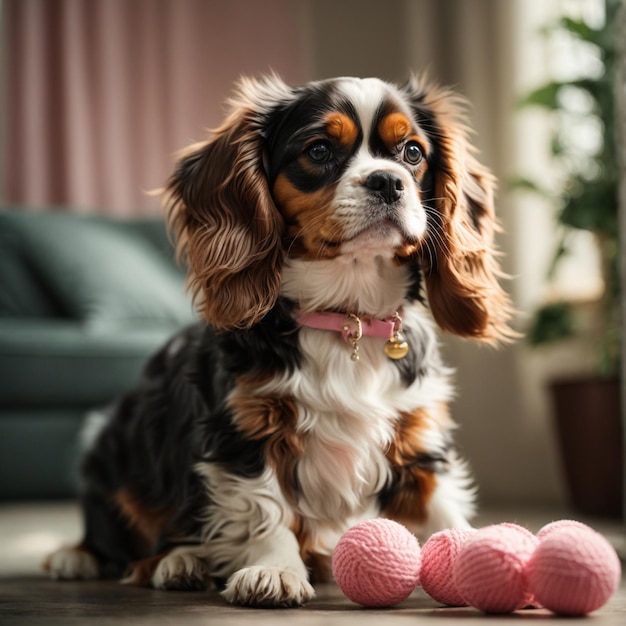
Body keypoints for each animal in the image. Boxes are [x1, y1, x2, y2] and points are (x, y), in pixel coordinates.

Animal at [45, 73, 512, 604]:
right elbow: (265, 506)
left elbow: (442, 502)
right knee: (123, 535)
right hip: (116, 448)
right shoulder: (245, 430)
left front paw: (478, 551)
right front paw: (274, 569)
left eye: (413, 152)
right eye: (319, 149)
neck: (346, 316)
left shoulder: (416, 434)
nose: (388, 180)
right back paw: (130, 559)